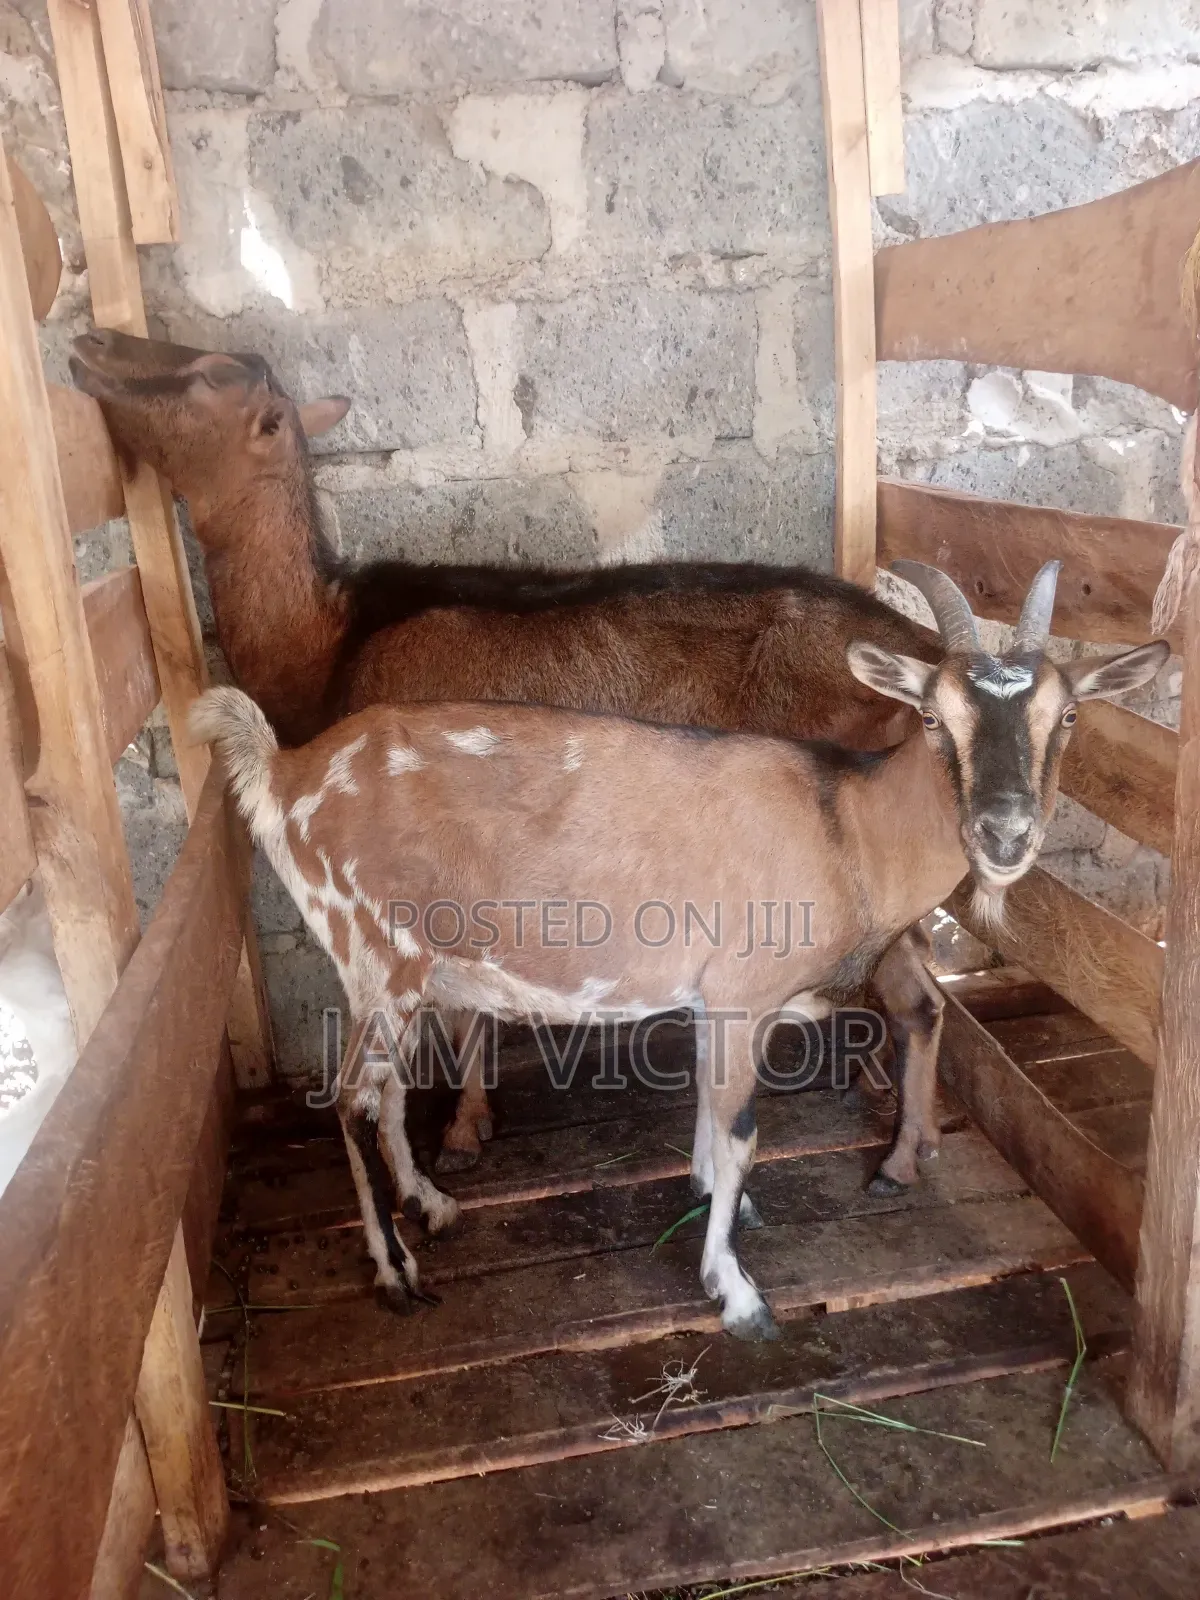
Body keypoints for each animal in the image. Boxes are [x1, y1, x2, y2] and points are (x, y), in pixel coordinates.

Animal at [70, 329, 946, 1185]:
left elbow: (463, 1005)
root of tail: (925, 649)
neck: (332, 643)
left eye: (212, 372)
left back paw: (900, 1150)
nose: (89, 344)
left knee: (920, 994)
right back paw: (898, 1118)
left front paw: (464, 1129)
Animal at [192, 561, 1168, 1339]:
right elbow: (741, 1133)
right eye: (933, 715)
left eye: (1068, 715)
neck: (846, 824)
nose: (1004, 833)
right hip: (380, 948)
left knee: (384, 1092)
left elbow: (707, 1111)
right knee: (351, 1099)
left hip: (387, 968)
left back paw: (433, 1206)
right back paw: (399, 1274)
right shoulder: (744, 991)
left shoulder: (712, 999)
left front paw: (713, 1203)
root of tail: (283, 772)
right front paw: (735, 1291)